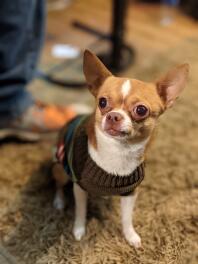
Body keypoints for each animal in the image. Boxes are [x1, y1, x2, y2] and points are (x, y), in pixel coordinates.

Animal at [52, 50, 189, 248]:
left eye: (141, 110)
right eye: (102, 102)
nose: (113, 116)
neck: (119, 151)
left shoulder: (131, 192)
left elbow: (126, 217)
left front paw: (130, 236)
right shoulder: (80, 187)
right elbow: (80, 211)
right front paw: (79, 230)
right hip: (60, 169)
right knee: (58, 184)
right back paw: (59, 201)